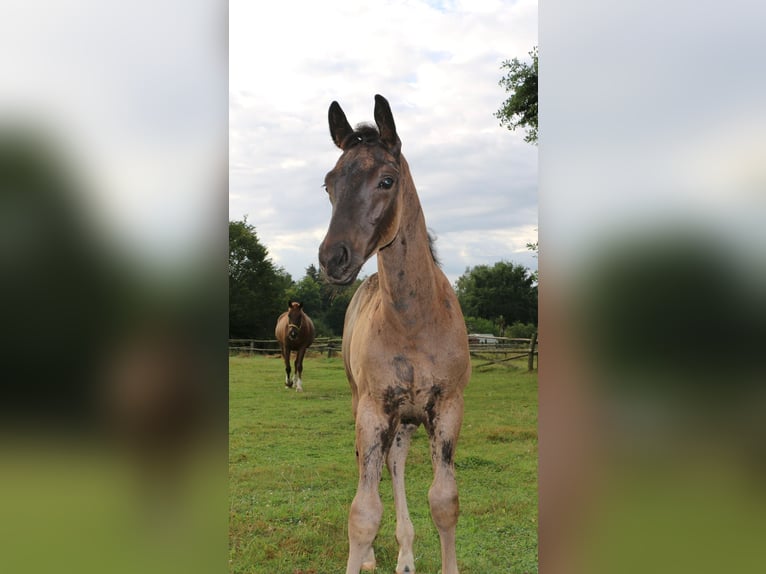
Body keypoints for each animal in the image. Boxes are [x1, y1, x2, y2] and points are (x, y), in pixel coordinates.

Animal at [316, 97, 472, 574]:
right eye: (329, 185)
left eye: (386, 180)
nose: (333, 258)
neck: (413, 323)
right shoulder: (372, 410)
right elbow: (364, 512)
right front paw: (362, 555)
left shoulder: (447, 408)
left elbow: (444, 501)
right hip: (372, 408)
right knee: (376, 466)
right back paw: (378, 556)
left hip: (406, 419)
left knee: (397, 462)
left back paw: (405, 554)